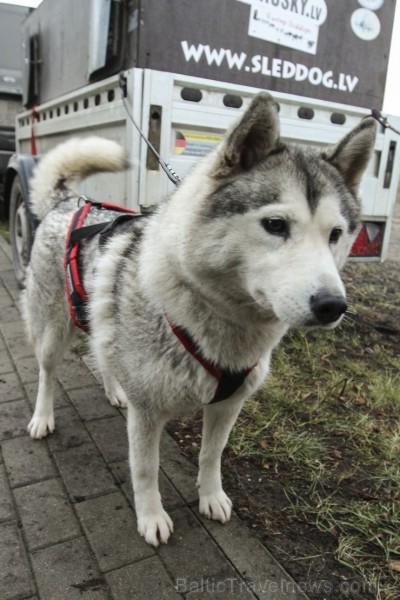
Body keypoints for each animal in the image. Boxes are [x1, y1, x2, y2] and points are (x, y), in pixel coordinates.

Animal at [21, 94, 376, 548]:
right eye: (275, 225)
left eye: (335, 234)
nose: (333, 305)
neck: (218, 320)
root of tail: (69, 201)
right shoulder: (148, 412)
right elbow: (145, 469)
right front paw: (151, 517)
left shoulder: (228, 403)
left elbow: (211, 454)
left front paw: (210, 496)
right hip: (52, 331)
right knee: (47, 373)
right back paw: (42, 418)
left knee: (106, 358)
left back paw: (115, 390)